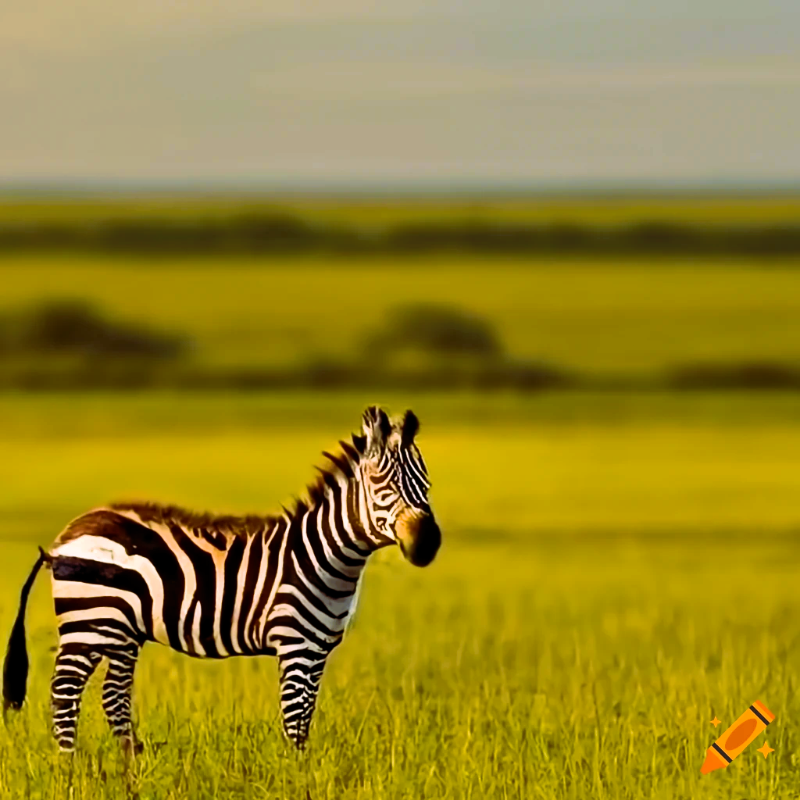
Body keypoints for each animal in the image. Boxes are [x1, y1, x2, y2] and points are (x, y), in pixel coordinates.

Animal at [3, 410, 440, 752]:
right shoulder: (295, 645)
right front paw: (298, 777)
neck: (325, 555)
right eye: (383, 485)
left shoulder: (318, 650)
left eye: (427, 485)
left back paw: (131, 763)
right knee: (64, 692)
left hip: (120, 631)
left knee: (113, 695)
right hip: (90, 623)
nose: (428, 543)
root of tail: (69, 531)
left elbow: (305, 719)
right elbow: (294, 721)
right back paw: (71, 768)